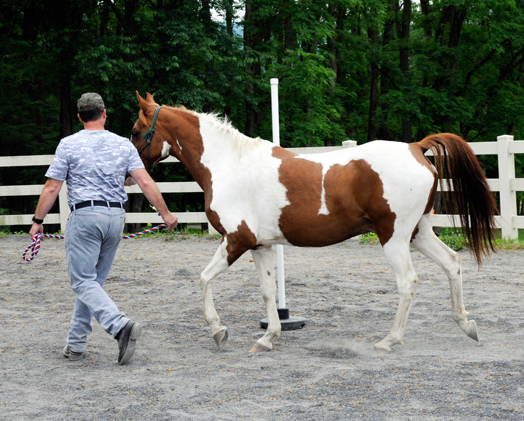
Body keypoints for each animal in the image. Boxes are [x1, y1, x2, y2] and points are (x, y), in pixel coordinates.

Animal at [129, 93, 498, 352]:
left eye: (135, 132)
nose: (131, 177)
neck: (229, 165)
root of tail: (416, 147)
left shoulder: (235, 241)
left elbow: (204, 280)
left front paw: (219, 331)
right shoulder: (260, 246)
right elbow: (267, 292)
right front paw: (268, 338)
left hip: (393, 237)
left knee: (408, 282)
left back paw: (389, 341)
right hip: (418, 233)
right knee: (452, 263)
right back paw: (466, 324)